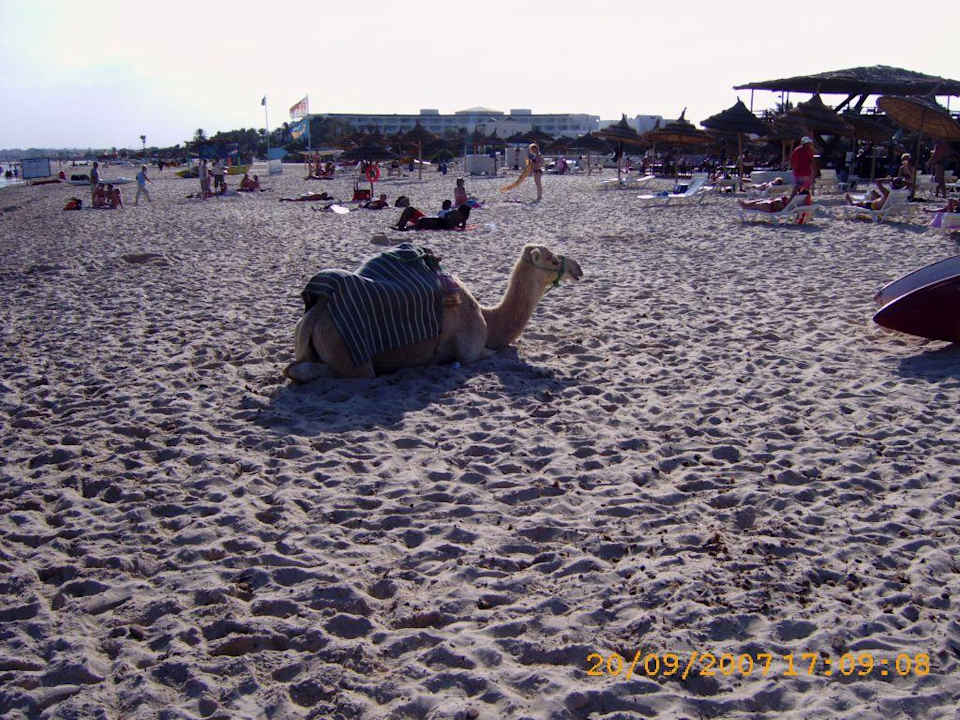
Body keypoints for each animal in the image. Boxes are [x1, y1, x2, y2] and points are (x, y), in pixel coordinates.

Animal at [285, 244, 582, 381]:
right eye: (552, 259)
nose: (577, 268)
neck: (488, 318)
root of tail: (313, 319)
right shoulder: (472, 351)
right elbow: (493, 353)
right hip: (353, 360)